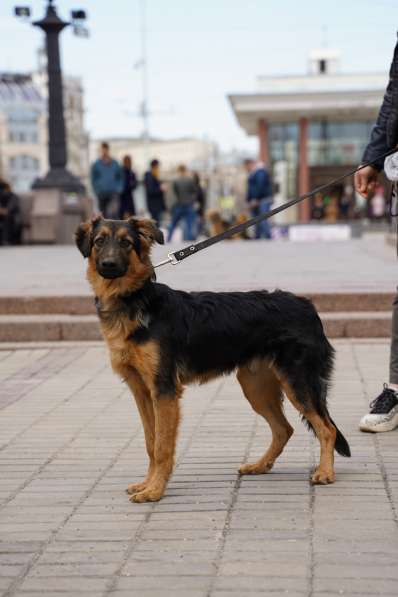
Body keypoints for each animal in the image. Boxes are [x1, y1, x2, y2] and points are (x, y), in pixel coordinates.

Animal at [76, 217, 350, 500]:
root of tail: (308, 306)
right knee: (284, 429)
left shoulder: (164, 390)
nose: (108, 264)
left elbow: (162, 447)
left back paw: (325, 473)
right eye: (99, 241)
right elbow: (151, 442)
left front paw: (155, 491)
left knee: (327, 429)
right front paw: (147, 484)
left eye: (126, 242)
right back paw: (260, 465)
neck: (135, 300)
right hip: (256, 388)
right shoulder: (141, 391)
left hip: (298, 384)